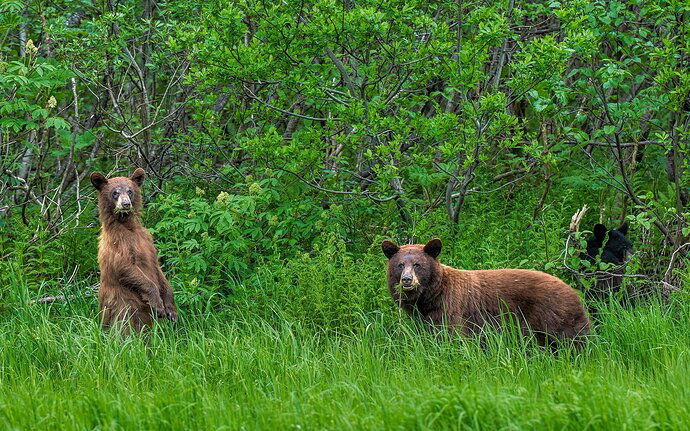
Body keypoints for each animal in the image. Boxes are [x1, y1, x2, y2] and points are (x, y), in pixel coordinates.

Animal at [90, 169, 177, 334]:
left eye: (130, 191)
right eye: (115, 192)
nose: (126, 204)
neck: (126, 225)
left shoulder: (146, 240)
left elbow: (157, 268)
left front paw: (171, 310)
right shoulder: (118, 244)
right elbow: (126, 266)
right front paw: (158, 305)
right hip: (122, 302)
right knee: (125, 324)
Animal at [382, 238, 584, 346]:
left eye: (418, 265)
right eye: (400, 265)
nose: (407, 280)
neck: (432, 295)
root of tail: (572, 291)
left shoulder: (452, 309)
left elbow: (453, 336)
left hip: (552, 317)